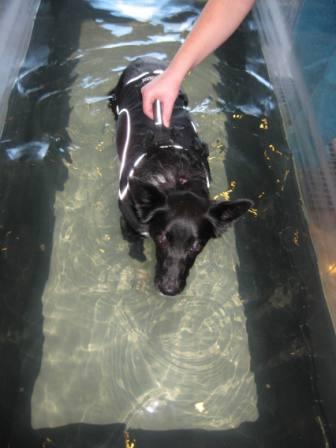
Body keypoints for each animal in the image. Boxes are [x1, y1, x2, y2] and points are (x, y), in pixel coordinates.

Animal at [109, 58, 251, 298]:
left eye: (196, 246)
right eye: (162, 239)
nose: (169, 289)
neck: (175, 179)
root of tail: (144, 60)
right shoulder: (128, 225)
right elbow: (136, 251)